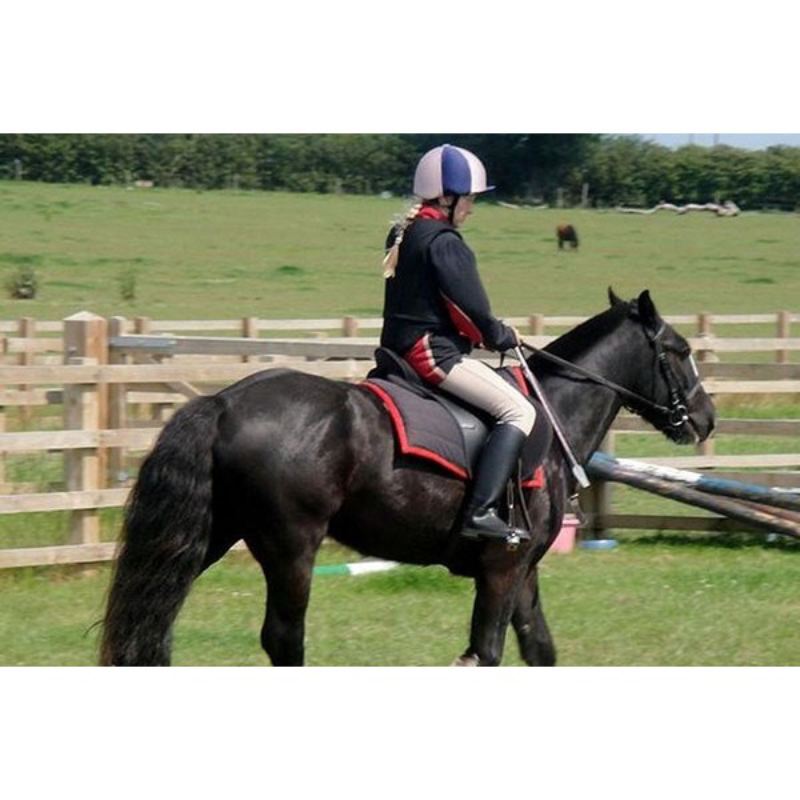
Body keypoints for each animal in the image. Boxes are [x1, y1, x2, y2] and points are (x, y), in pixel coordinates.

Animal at [99, 289, 715, 667]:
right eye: (679, 350)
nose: (706, 418)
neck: (552, 410)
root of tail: (224, 402)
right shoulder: (502, 568)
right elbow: (484, 652)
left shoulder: (522, 571)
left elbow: (538, 649)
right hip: (290, 546)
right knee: (284, 639)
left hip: (211, 535)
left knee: (151, 616)